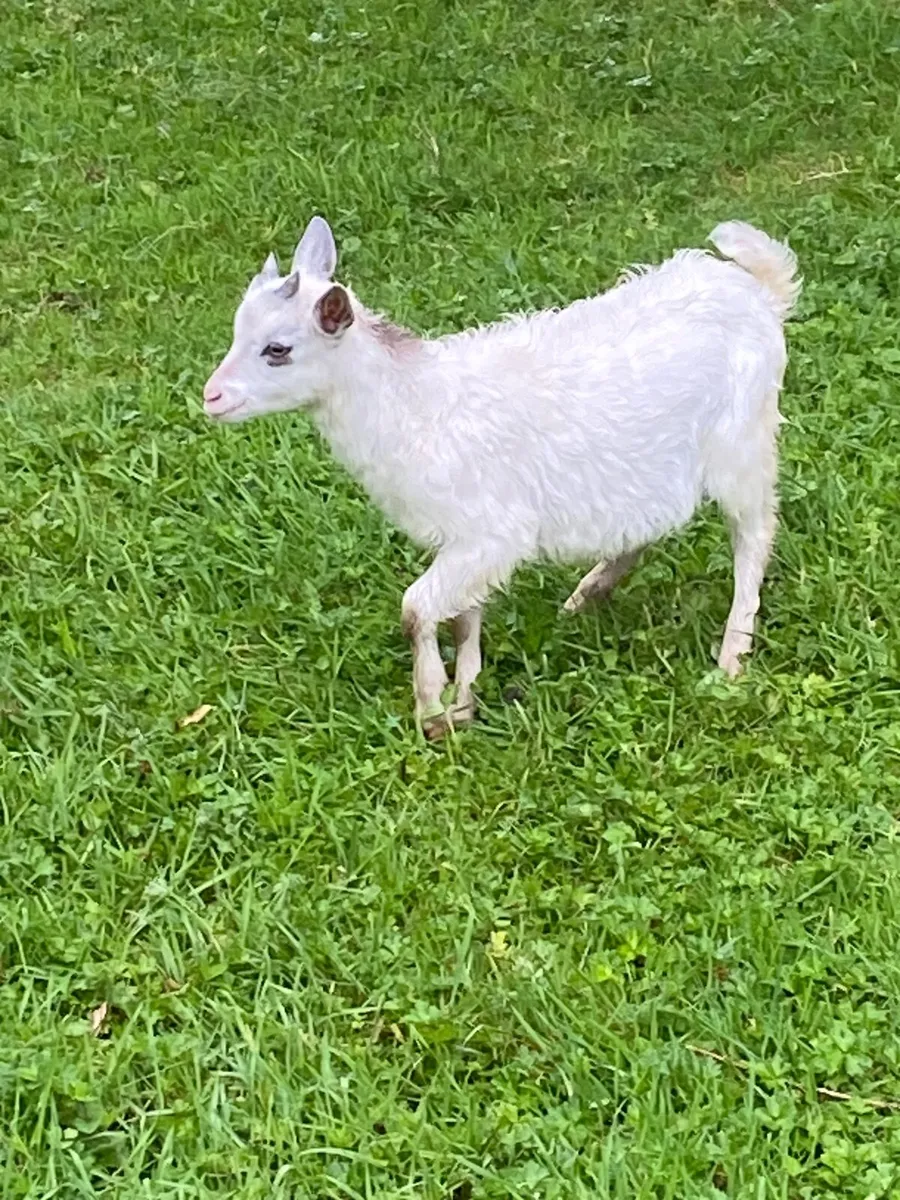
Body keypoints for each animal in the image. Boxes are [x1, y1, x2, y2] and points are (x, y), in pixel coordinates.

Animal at [204, 216, 799, 738]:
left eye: (277, 349)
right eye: (235, 330)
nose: (212, 396)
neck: (413, 408)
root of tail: (762, 291)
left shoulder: (492, 531)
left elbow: (416, 609)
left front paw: (431, 707)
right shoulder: (465, 539)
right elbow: (464, 614)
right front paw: (462, 698)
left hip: (744, 440)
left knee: (755, 534)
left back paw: (730, 658)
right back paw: (586, 595)